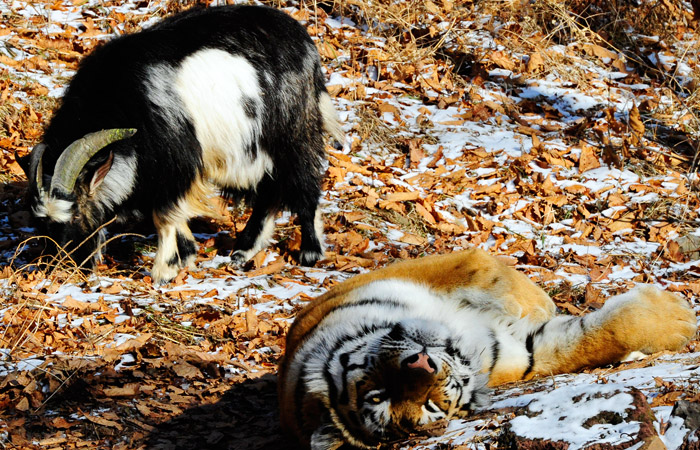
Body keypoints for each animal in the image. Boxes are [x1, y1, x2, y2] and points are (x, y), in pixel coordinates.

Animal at [18, 5, 343, 283]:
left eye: (75, 214)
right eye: (40, 223)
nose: (65, 267)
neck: (123, 102)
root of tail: (305, 42)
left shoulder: (176, 163)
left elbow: (164, 217)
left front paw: (164, 271)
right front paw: (186, 254)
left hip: (292, 132)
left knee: (304, 182)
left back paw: (310, 252)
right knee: (269, 190)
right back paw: (243, 251)